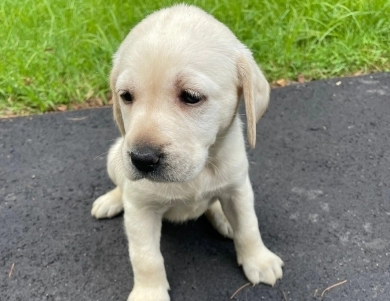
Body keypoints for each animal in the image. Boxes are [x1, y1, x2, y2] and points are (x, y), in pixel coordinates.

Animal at [92, 4, 284, 300]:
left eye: (191, 97)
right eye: (125, 96)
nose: (141, 159)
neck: (199, 170)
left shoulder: (238, 188)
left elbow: (248, 226)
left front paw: (259, 260)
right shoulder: (140, 209)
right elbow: (146, 257)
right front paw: (149, 293)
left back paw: (223, 219)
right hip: (115, 157)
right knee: (121, 186)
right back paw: (111, 200)